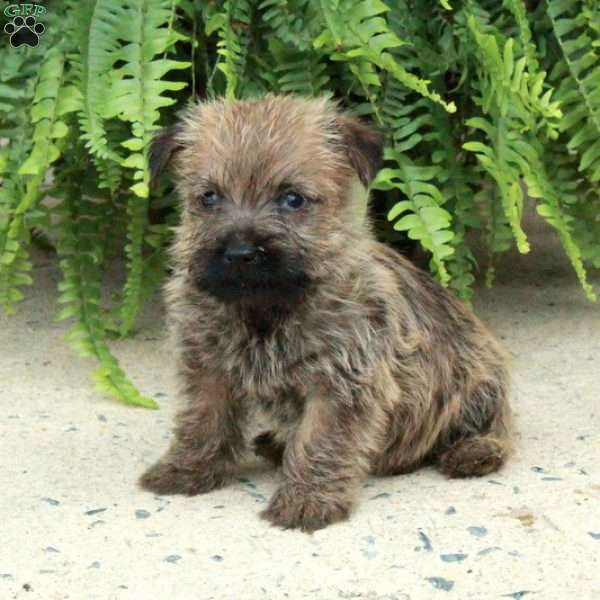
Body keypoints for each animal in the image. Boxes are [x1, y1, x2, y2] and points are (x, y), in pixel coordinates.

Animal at [139, 96, 510, 532]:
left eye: (292, 199)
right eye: (209, 198)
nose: (240, 253)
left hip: (477, 382)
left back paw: (471, 453)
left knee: (491, 429)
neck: (265, 310)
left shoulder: (340, 383)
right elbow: (202, 422)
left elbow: (320, 441)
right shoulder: (208, 369)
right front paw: (185, 470)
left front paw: (306, 500)